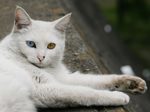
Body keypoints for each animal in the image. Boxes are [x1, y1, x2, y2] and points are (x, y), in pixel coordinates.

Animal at [0, 6, 148, 112]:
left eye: (51, 46)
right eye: (30, 44)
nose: (41, 57)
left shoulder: (63, 78)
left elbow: (96, 80)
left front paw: (132, 83)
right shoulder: (44, 88)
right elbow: (85, 92)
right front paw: (118, 96)